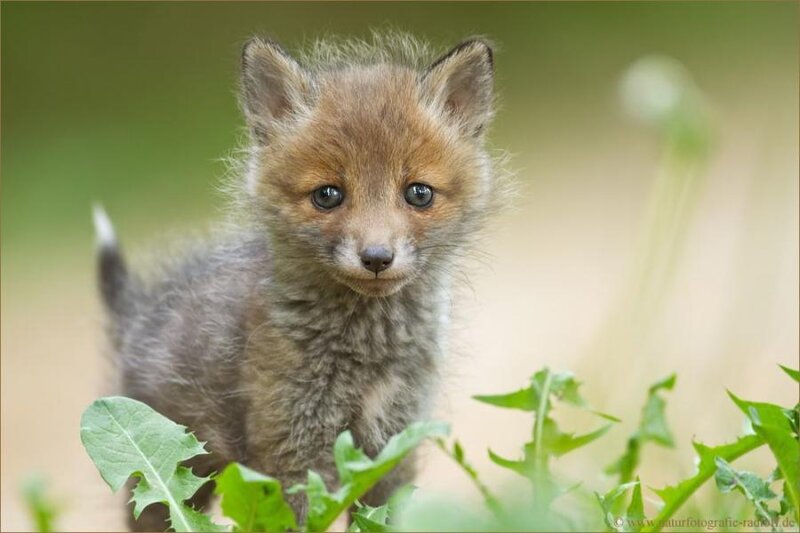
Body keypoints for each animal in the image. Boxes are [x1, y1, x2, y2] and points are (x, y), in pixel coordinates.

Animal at [94, 33, 507, 530]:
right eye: (328, 195)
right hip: (174, 474)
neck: (367, 353)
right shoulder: (292, 452)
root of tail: (141, 311)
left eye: (419, 193)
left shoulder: (392, 445)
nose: (376, 257)